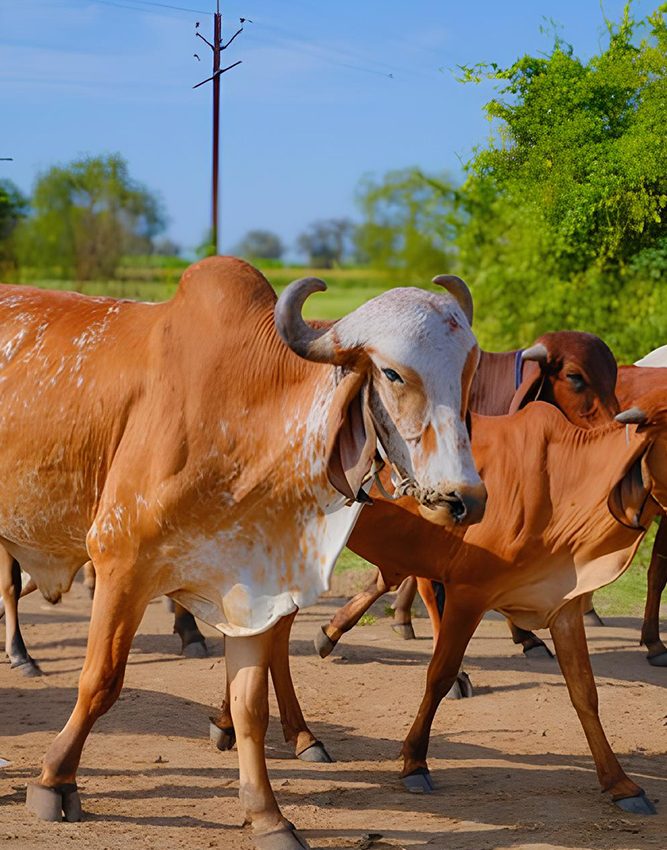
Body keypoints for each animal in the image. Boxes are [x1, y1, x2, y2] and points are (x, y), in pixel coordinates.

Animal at [0, 257, 485, 849]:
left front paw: (268, 815)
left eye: (468, 371)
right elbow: (101, 680)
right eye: (393, 374)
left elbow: (250, 706)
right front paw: (55, 780)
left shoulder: (253, 588)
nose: (465, 498)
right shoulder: (119, 559)